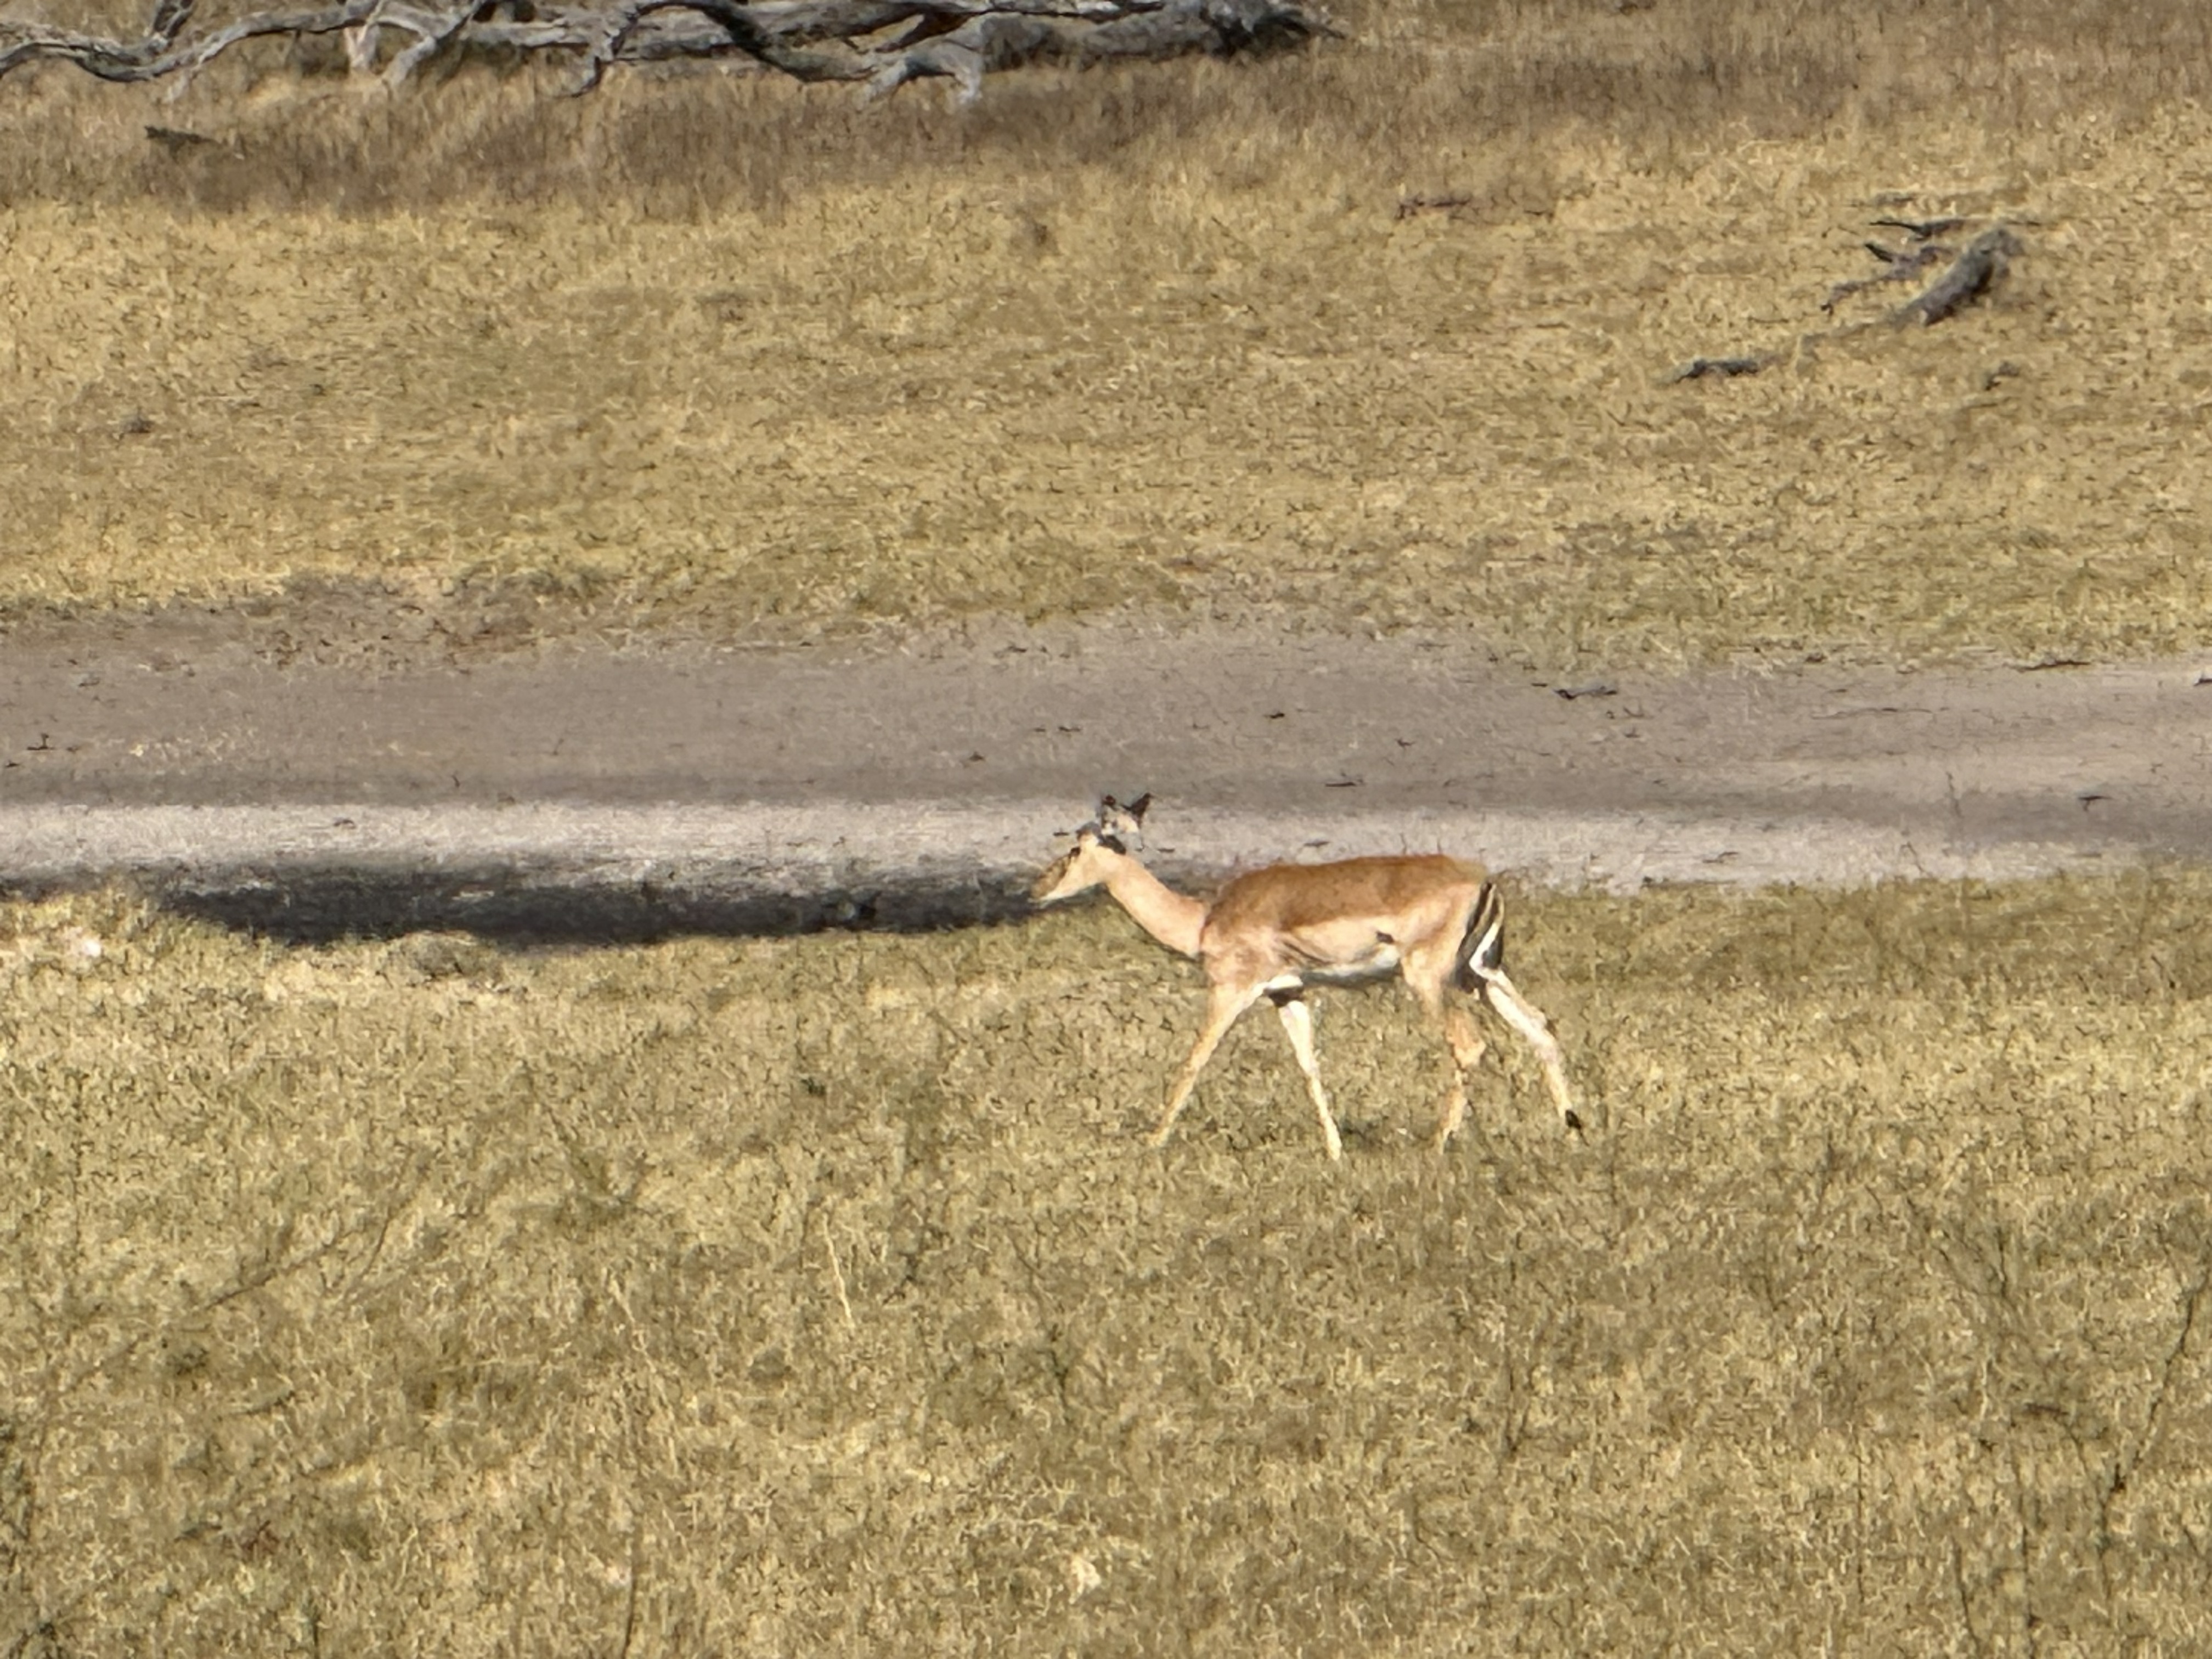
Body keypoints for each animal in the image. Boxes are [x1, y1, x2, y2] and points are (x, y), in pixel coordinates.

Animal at [1031, 795, 1580, 1161]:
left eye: (1077, 848)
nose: (1035, 890)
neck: (1205, 919)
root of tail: (1483, 879)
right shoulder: (1290, 993)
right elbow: (1310, 1066)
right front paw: (1336, 1150)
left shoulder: (1231, 991)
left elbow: (1194, 1060)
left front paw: (1151, 1141)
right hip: (1481, 975)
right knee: (1541, 1027)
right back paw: (1574, 1132)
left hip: (1430, 979)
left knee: (1469, 1045)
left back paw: (1436, 1145)